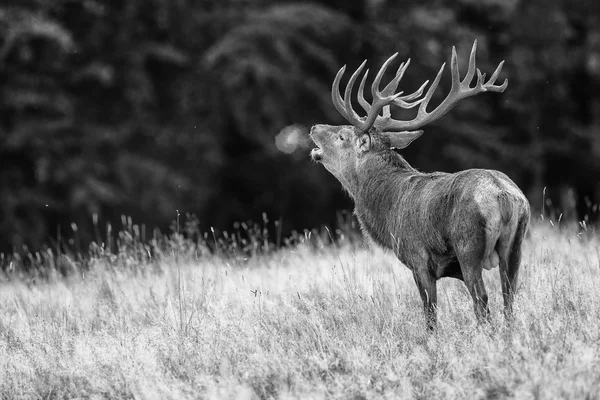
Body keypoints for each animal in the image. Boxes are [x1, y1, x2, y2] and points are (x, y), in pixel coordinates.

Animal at [310, 39, 528, 332]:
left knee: (482, 299)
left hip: (468, 246)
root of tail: (504, 195)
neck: (388, 209)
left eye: (342, 135)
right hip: (516, 246)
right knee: (510, 297)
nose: (313, 127)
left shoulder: (418, 259)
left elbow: (430, 314)